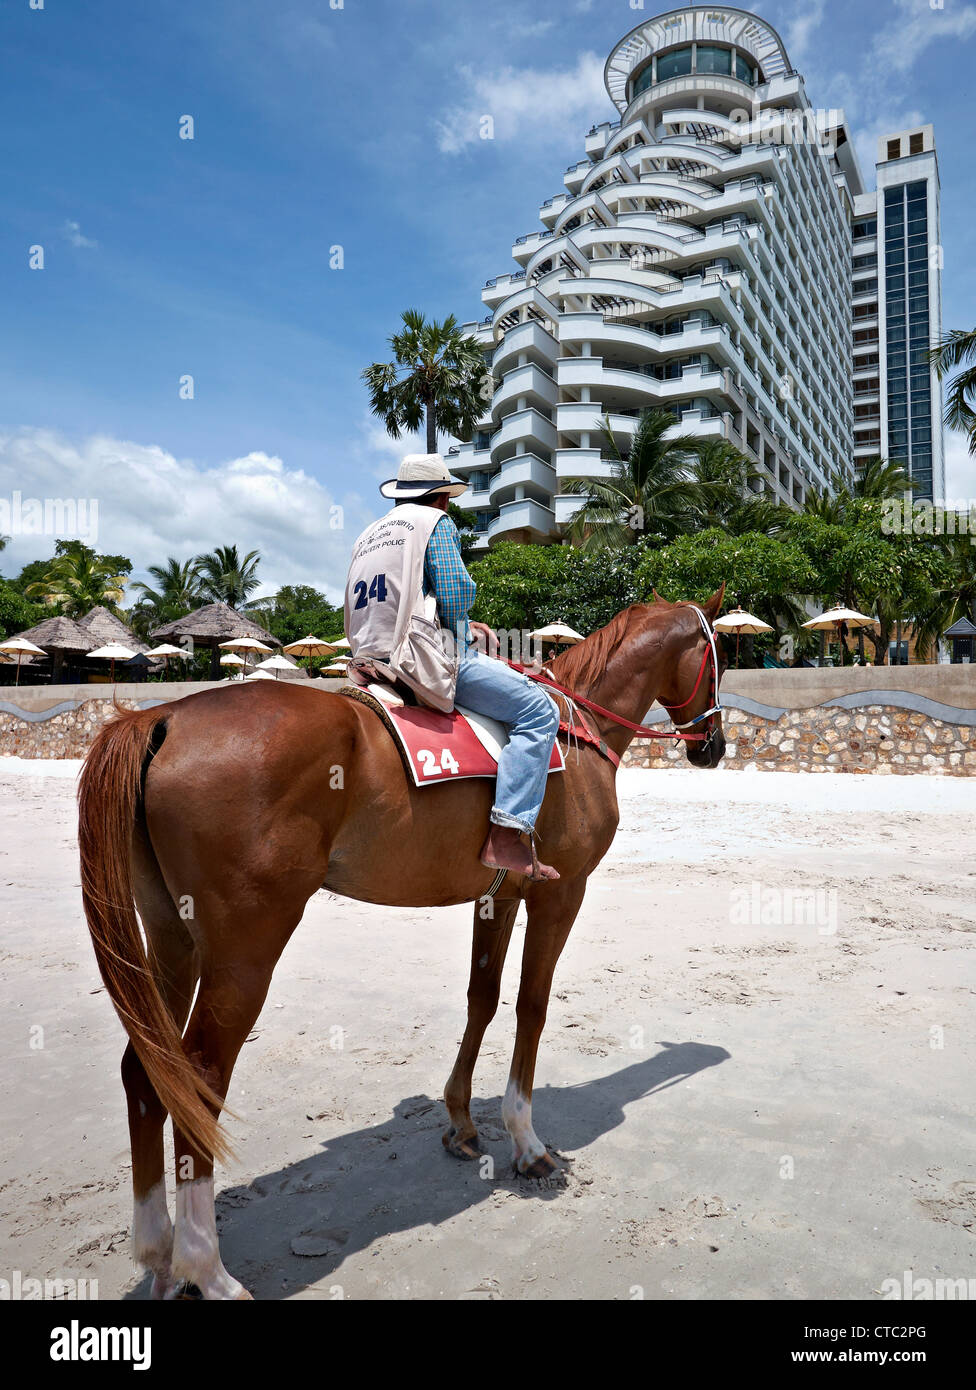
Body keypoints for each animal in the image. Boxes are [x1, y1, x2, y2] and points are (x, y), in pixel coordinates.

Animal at [80, 581, 728, 1295]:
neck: (573, 728)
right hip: (244, 952)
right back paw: (207, 1267)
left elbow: (483, 998)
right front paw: (527, 1144)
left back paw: (159, 1254)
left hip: (174, 940)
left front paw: (463, 1122)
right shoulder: (560, 896)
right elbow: (531, 1007)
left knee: (147, 1070)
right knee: (198, 1078)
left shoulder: (499, 895)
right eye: (719, 654)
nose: (714, 744)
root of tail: (163, 719)